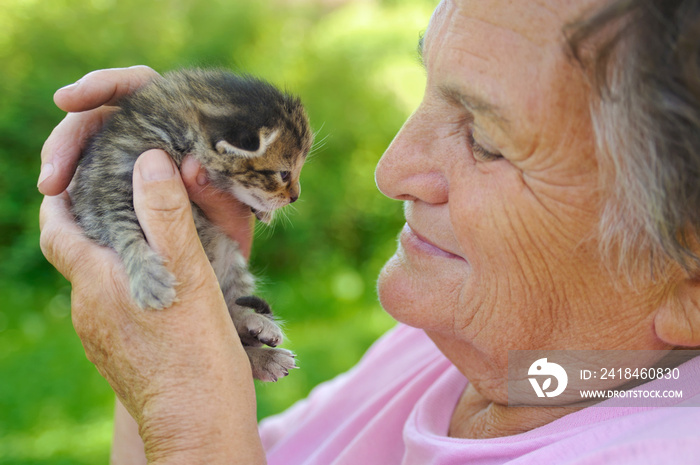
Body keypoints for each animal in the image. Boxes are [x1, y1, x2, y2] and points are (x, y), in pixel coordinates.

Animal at [70, 69, 312, 380]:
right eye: (284, 173)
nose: (295, 196)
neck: (174, 130)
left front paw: (263, 210)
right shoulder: (104, 195)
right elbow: (125, 231)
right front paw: (148, 277)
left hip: (231, 258)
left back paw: (256, 327)